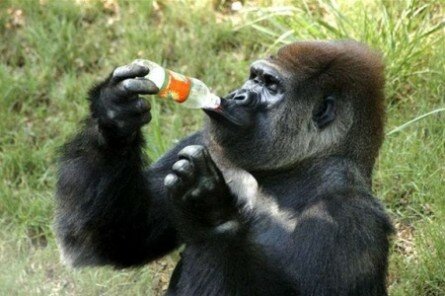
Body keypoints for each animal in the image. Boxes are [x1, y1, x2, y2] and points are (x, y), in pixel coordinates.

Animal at [54, 40, 392, 296]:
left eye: (271, 86)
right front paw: (114, 114)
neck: (287, 175)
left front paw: (210, 212)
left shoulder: (347, 217)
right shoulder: (204, 140)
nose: (237, 95)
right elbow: (114, 239)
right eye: (254, 77)